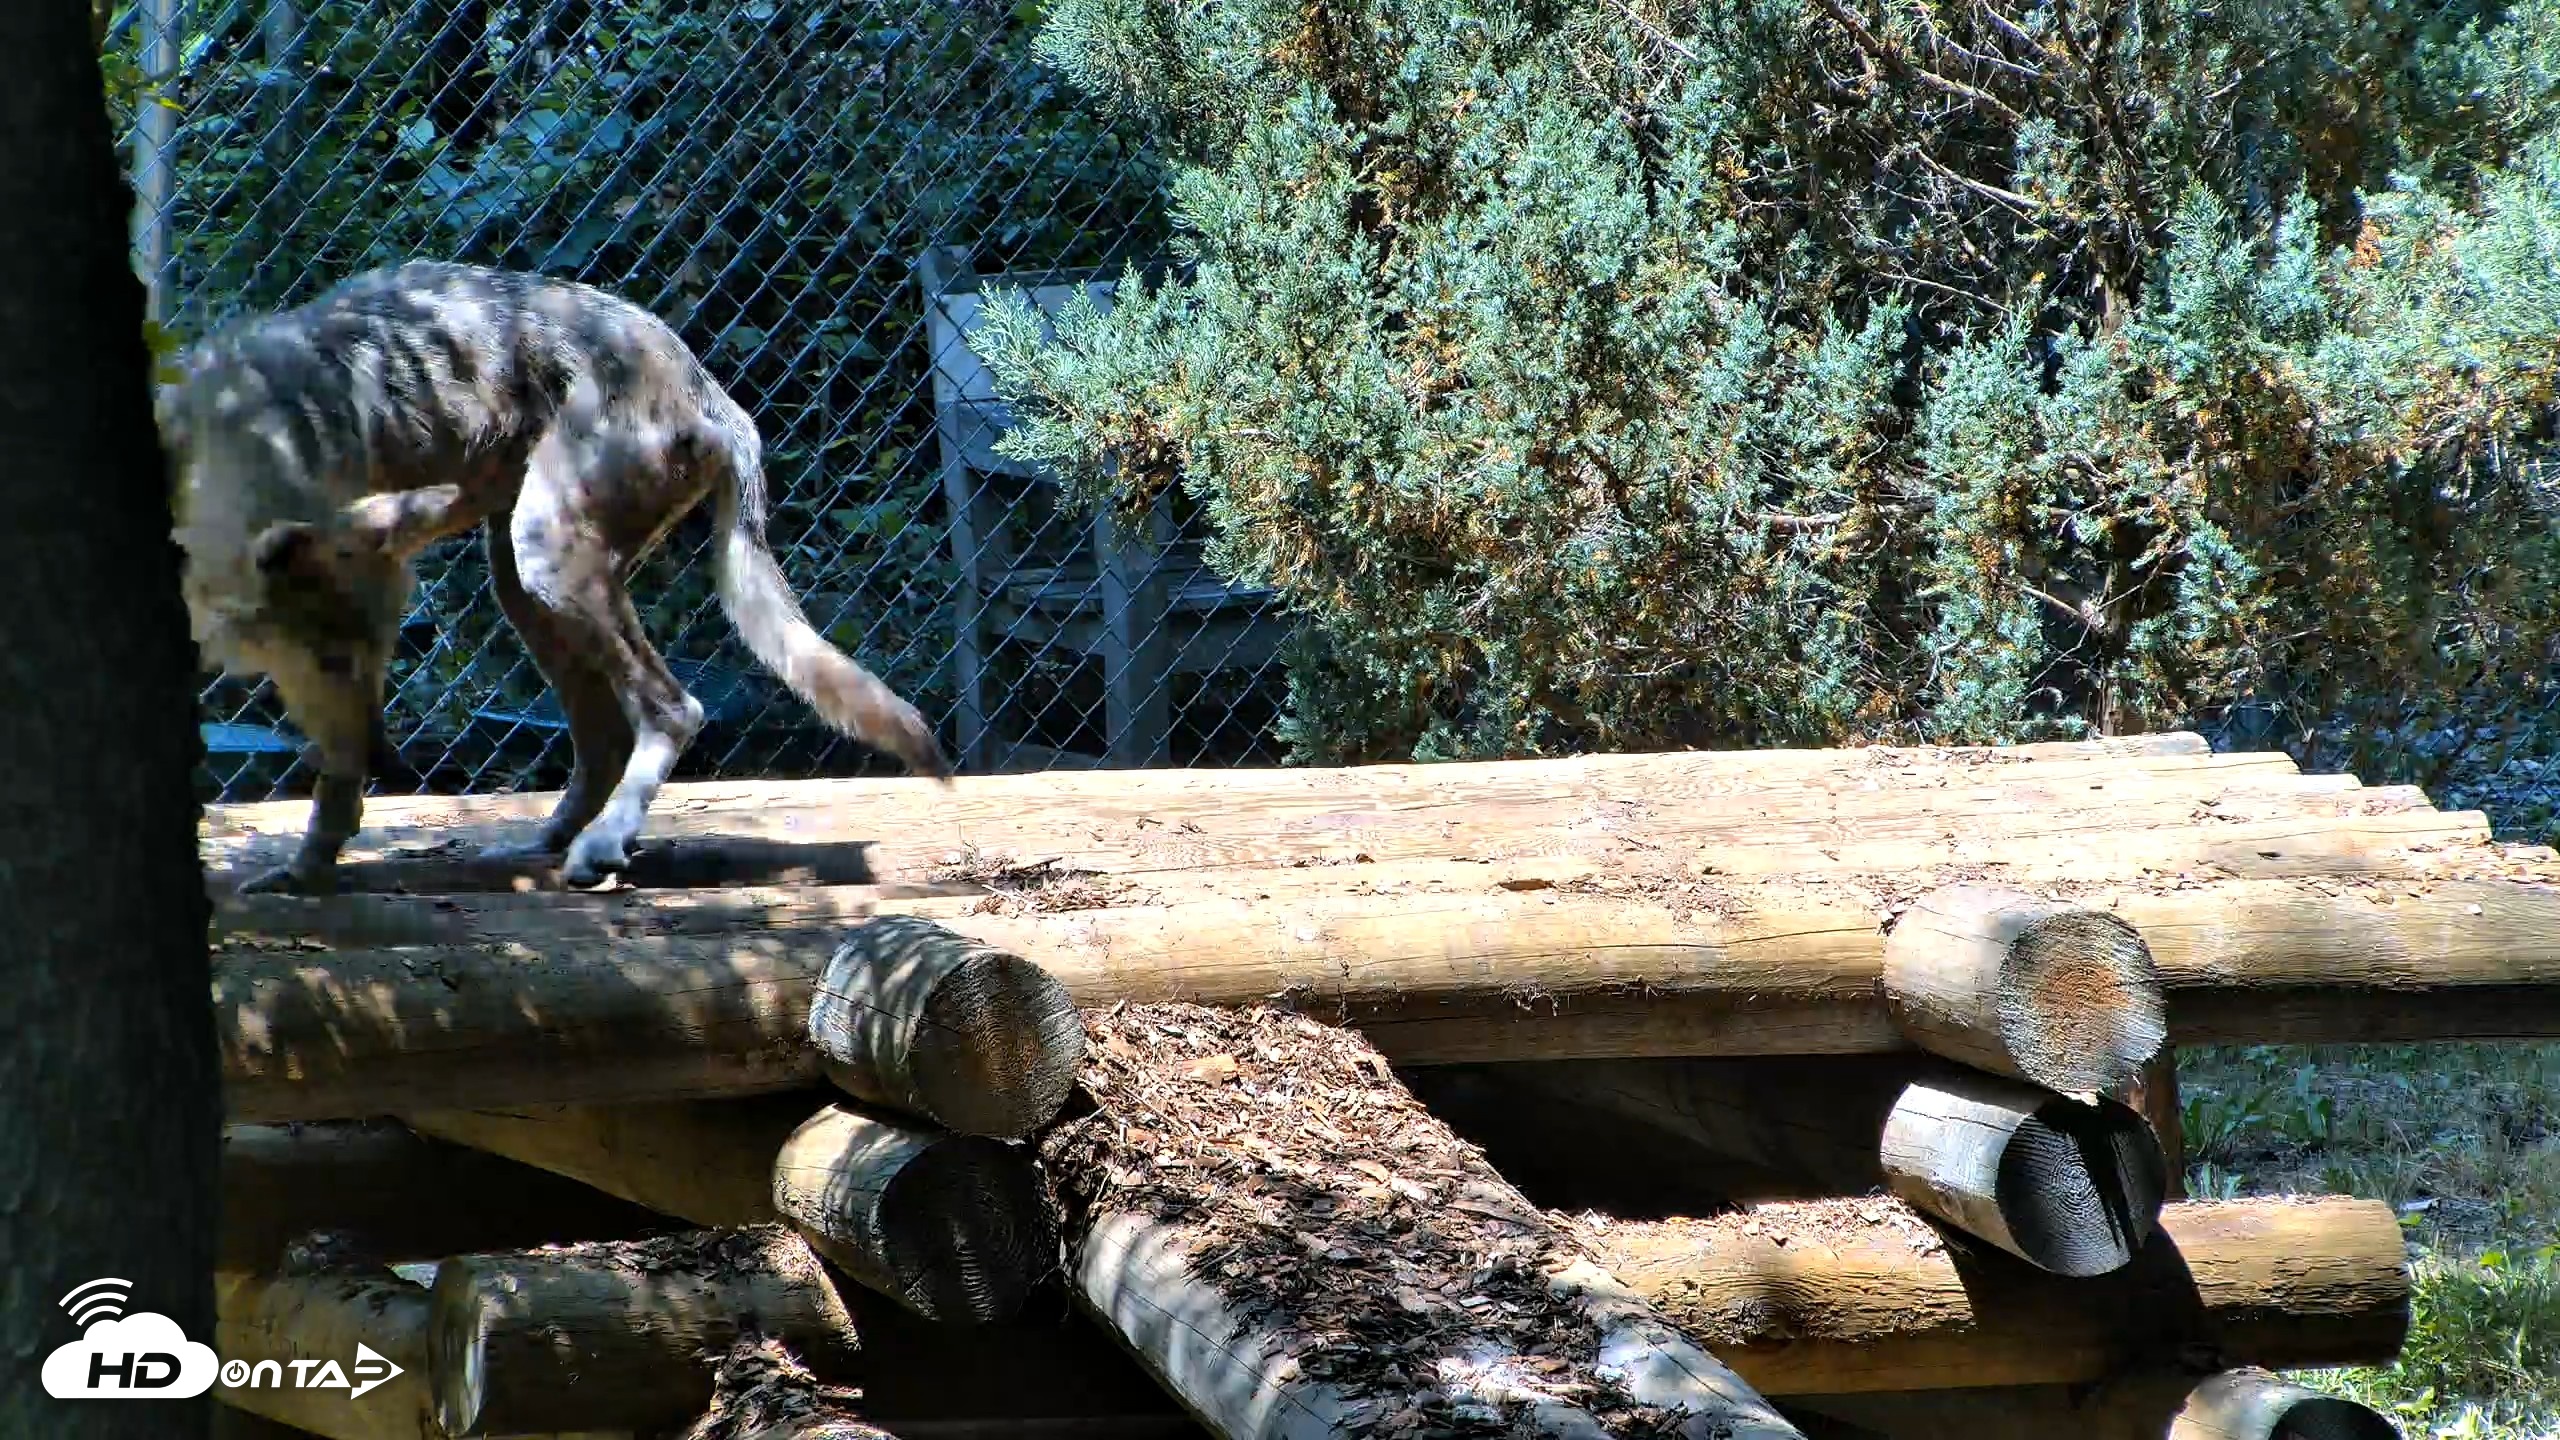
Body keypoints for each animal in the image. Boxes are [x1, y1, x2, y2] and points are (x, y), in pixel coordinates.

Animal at [165, 259, 951, 894]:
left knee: (673, 710)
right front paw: (307, 868)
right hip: (522, 586)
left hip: (540, 560)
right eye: (338, 660)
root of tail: (714, 395)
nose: (389, 762)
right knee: (603, 740)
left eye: (369, 658)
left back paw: (599, 845)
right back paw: (546, 841)